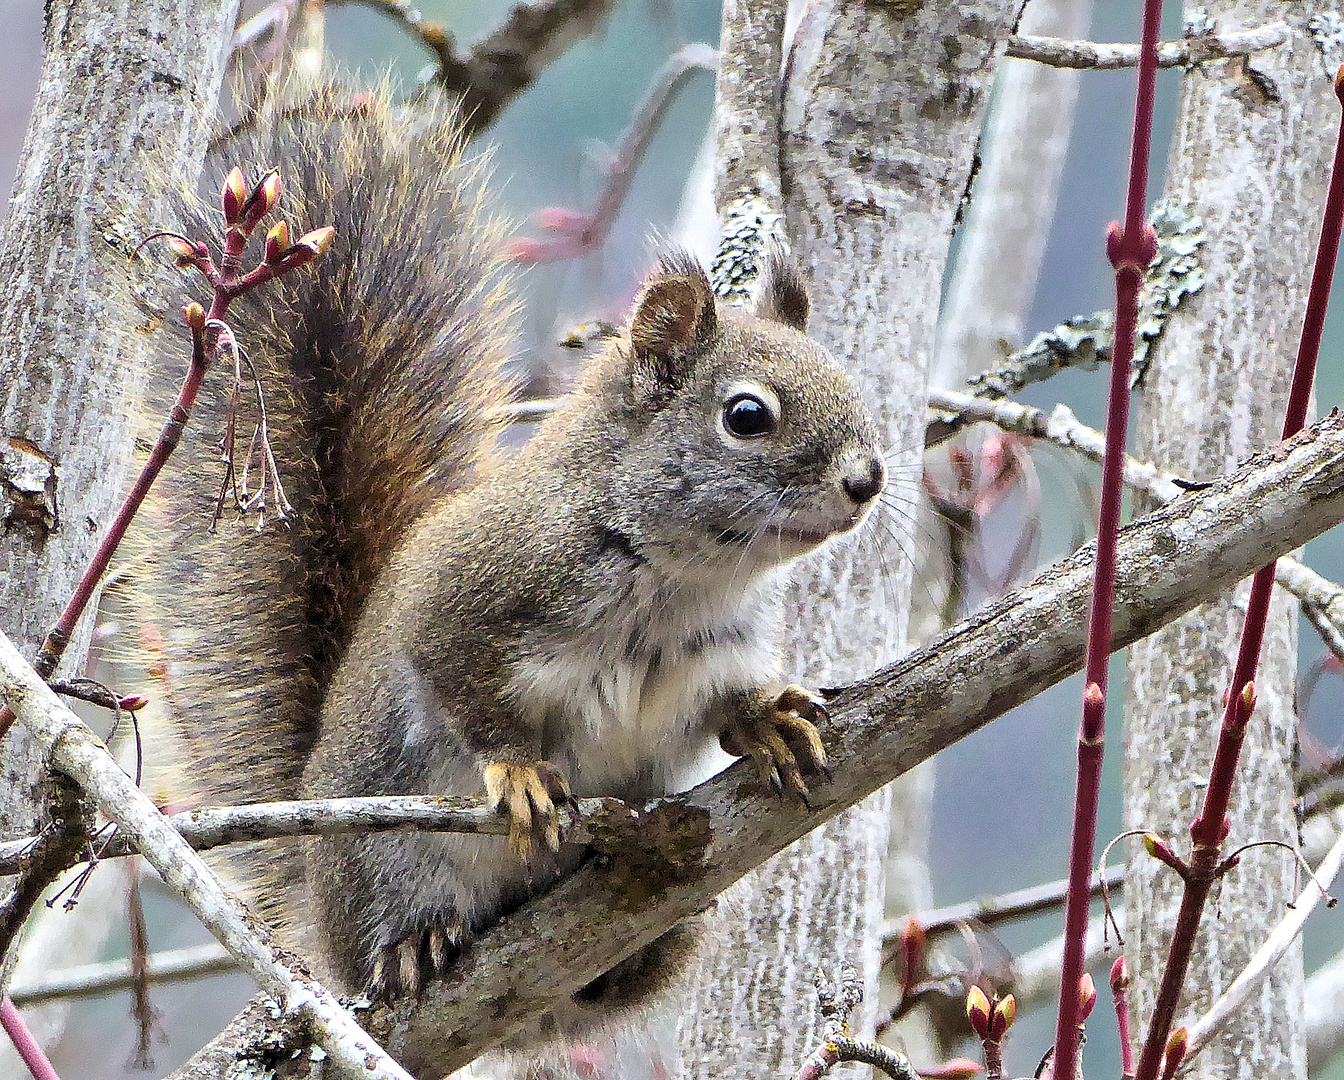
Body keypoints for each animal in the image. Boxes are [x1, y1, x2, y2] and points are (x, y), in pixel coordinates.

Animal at [141, 88, 887, 1053]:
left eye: (849, 383)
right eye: (747, 416)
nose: (867, 479)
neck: (677, 576)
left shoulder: (716, 653)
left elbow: (721, 707)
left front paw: (769, 720)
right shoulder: (471, 598)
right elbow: (466, 693)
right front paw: (520, 775)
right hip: (385, 860)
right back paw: (411, 949)